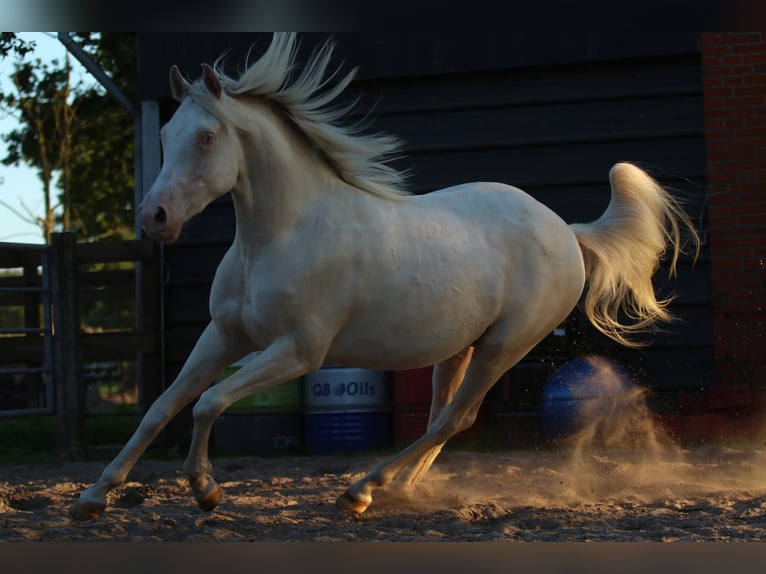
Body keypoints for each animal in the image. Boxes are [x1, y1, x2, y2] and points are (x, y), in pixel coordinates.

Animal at [70, 32, 698, 520]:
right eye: (163, 135)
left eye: (206, 137)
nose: (154, 217)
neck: (278, 237)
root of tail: (565, 230)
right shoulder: (224, 337)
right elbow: (162, 406)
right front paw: (93, 497)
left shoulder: (299, 351)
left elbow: (207, 403)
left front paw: (205, 490)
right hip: (460, 348)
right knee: (444, 418)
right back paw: (391, 490)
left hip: (504, 346)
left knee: (455, 418)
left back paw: (360, 491)